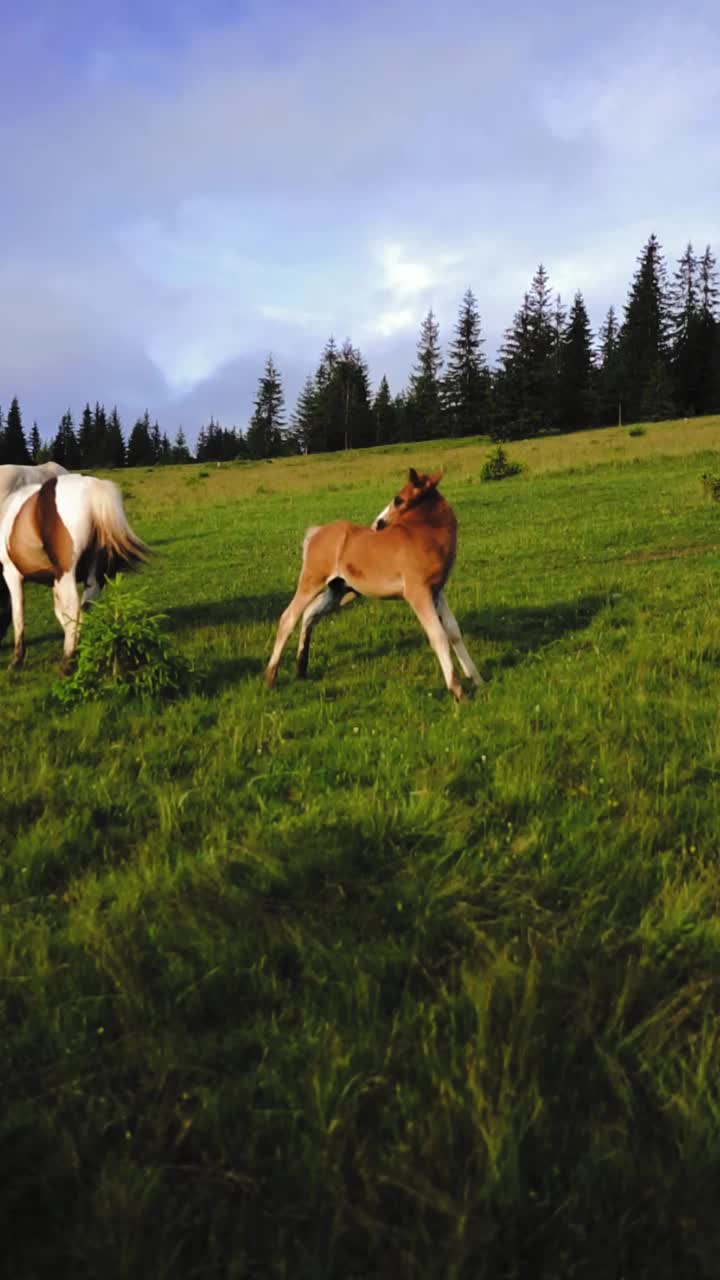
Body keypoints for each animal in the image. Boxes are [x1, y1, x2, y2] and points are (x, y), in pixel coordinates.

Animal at [0, 471, 146, 670]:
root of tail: (92, 489)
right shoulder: (55, 580)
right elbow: (60, 611)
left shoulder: (12, 574)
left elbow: (19, 613)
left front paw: (17, 660)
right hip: (94, 578)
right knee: (85, 607)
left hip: (68, 574)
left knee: (74, 606)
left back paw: (67, 662)